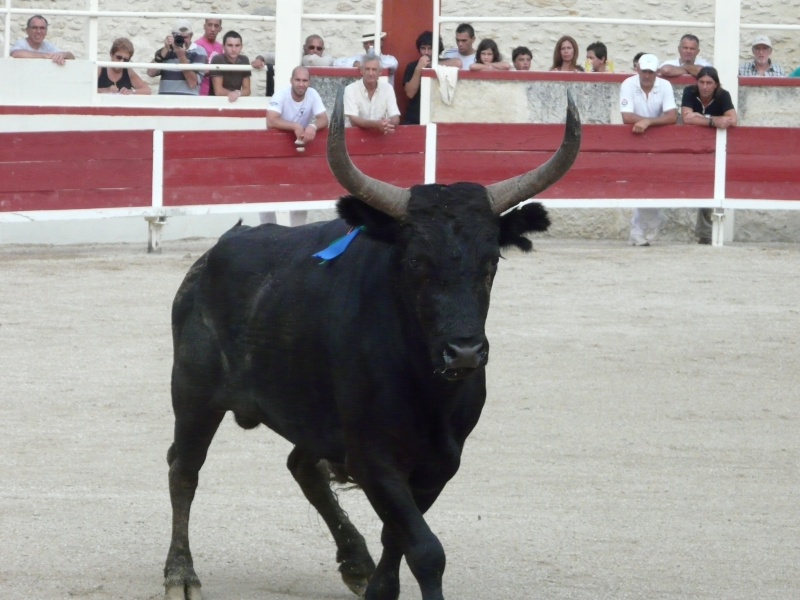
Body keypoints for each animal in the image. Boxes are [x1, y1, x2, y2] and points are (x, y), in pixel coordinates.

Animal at [164, 89, 580, 600]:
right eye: (416, 262)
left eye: (491, 263)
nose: (464, 352)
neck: (427, 387)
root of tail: (214, 252)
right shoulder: (373, 458)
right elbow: (425, 548)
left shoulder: (440, 462)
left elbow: (397, 536)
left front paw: (377, 583)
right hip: (194, 394)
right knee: (185, 468)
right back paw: (181, 573)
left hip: (312, 415)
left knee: (302, 467)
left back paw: (355, 561)